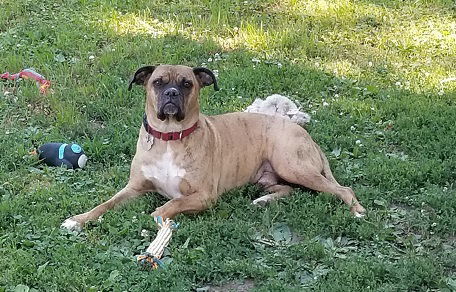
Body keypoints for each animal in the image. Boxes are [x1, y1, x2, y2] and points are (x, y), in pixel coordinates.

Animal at [61, 65, 366, 232]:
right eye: (157, 82)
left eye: (187, 84)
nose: (171, 93)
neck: (170, 137)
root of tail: (304, 133)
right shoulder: (133, 188)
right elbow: (104, 204)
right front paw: (78, 220)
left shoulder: (203, 196)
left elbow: (168, 206)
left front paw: (157, 219)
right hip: (274, 175)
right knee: (288, 190)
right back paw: (264, 200)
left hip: (293, 165)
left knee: (342, 189)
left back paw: (358, 211)